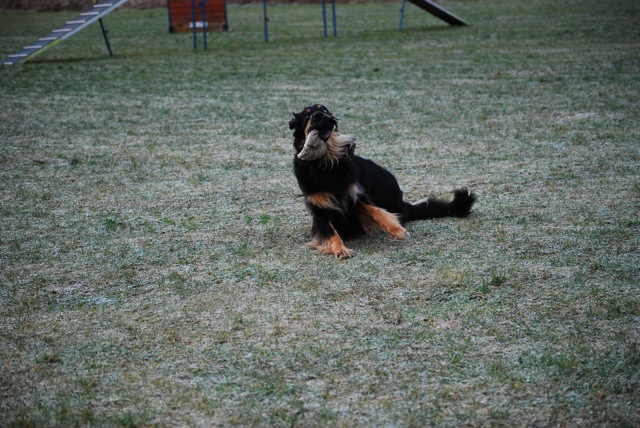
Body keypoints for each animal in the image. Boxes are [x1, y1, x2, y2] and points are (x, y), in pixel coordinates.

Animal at [289, 104, 476, 259]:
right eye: (307, 115)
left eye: (324, 110)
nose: (319, 115)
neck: (326, 163)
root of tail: (402, 203)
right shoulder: (320, 210)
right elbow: (331, 234)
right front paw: (341, 250)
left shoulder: (355, 196)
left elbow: (377, 211)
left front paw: (397, 230)